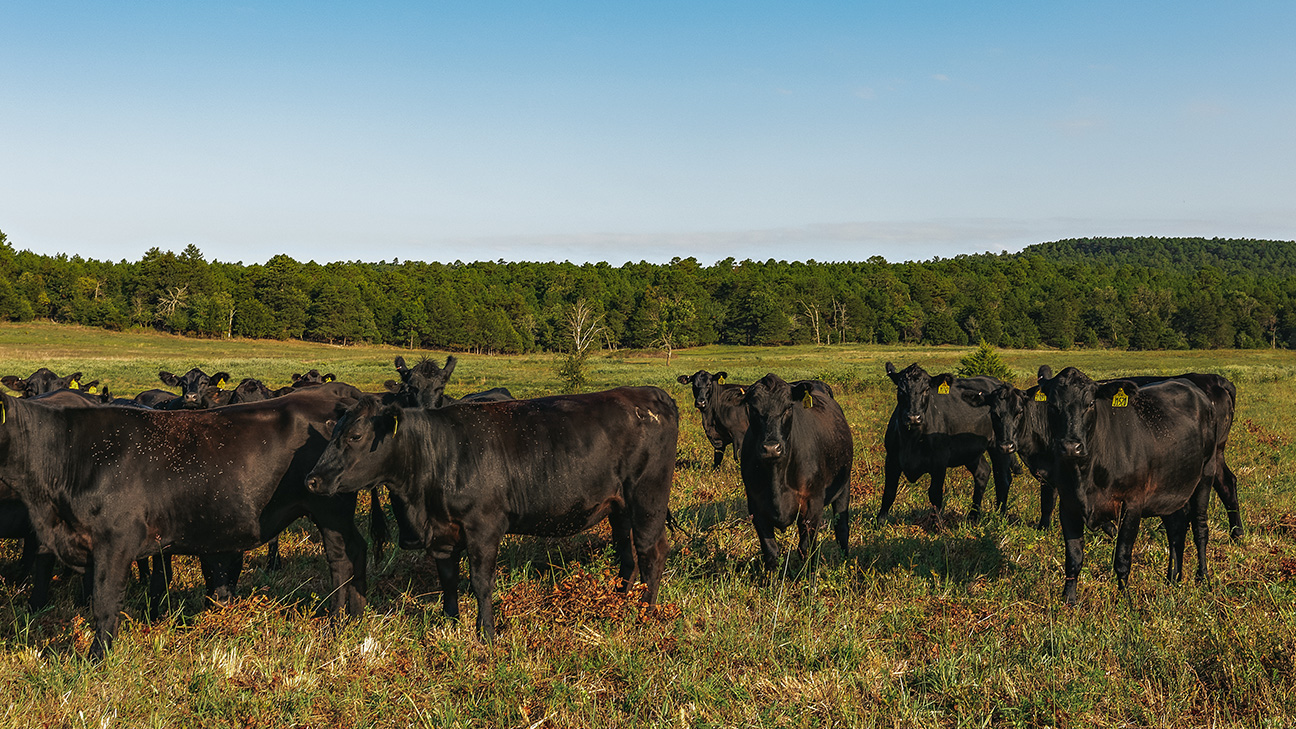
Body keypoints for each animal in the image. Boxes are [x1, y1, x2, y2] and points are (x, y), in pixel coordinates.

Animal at [0, 383, 368, 656]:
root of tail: (336, 393)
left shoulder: (115, 540)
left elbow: (104, 602)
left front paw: (96, 660)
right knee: (358, 549)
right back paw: (357, 613)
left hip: (329, 509)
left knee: (340, 561)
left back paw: (336, 622)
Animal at [303, 386, 679, 635]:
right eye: (333, 433)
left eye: (354, 435)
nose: (312, 479)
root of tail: (652, 393)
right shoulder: (443, 534)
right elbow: (448, 579)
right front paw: (451, 622)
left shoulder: (483, 526)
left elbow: (480, 582)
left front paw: (486, 632)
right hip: (619, 506)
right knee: (627, 553)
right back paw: (620, 600)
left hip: (648, 497)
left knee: (652, 550)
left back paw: (645, 611)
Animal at [741, 373, 850, 573]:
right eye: (753, 409)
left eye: (787, 408)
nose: (771, 448)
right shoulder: (756, 508)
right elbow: (771, 552)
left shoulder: (812, 505)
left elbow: (806, 548)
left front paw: (809, 576)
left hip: (844, 486)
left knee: (842, 529)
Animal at [876, 360, 1016, 521]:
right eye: (900, 390)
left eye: (926, 390)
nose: (913, 417)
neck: (911, 439)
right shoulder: (891, 458)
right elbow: (889, 492)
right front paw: (880, 521)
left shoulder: (939, 460)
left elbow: (935, 494)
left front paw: (938, 524)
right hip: (970, 451)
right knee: (983, 473)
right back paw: (973, 516)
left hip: (1001, 446)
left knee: (1003, 479)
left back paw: (1001, 516)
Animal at [1036, 363, 1218, 601]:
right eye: (1052, 405)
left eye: (1090, 403)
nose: (1070, 447)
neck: (1085, 474)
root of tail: (1191, 387)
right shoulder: (1068, 505)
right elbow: (1074, 558)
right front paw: (1068, 600)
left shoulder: (1132, 504)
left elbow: (1122, 556)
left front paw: (1126, 600)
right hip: (1170, 489)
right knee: (1176, 529)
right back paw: (1173, 579)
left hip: (1205, 475)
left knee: (1199, 527)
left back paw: (1203, 577)